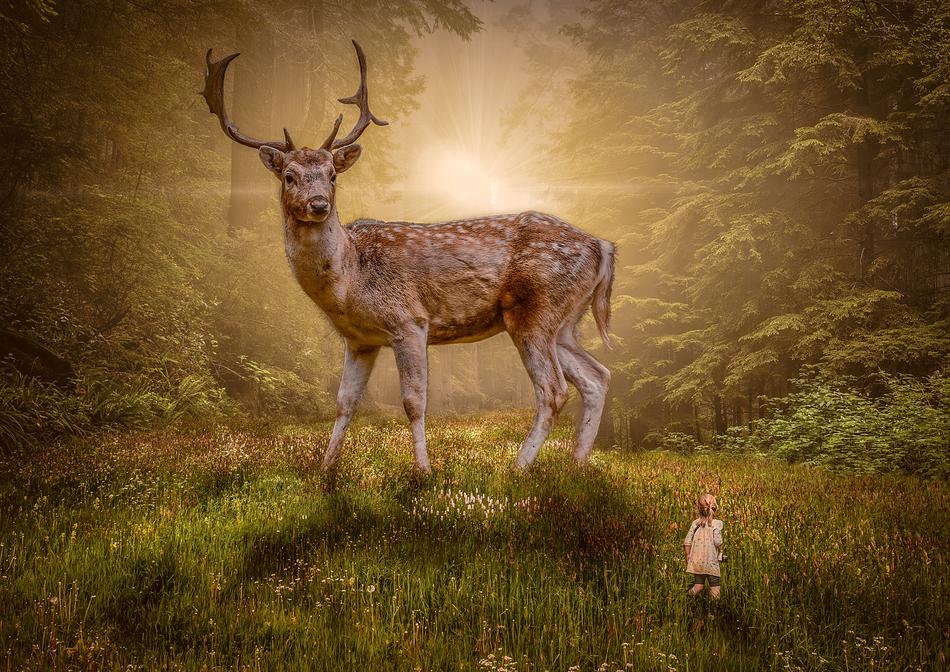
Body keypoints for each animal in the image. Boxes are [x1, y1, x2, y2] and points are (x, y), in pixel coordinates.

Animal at [202, 41, 615, 473]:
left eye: (333, 175)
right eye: (289, 176)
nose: (318, 204)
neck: (349, 281)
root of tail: (602, 246)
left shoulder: (410, 321)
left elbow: (414, 402)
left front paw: (424, 471)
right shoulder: (359, 340)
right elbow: (344, 404)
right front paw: (326, 469)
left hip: (535, 309)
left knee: (553, 389)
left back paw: (517, 469)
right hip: (565, 321)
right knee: (597, 376)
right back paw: (577, 465)